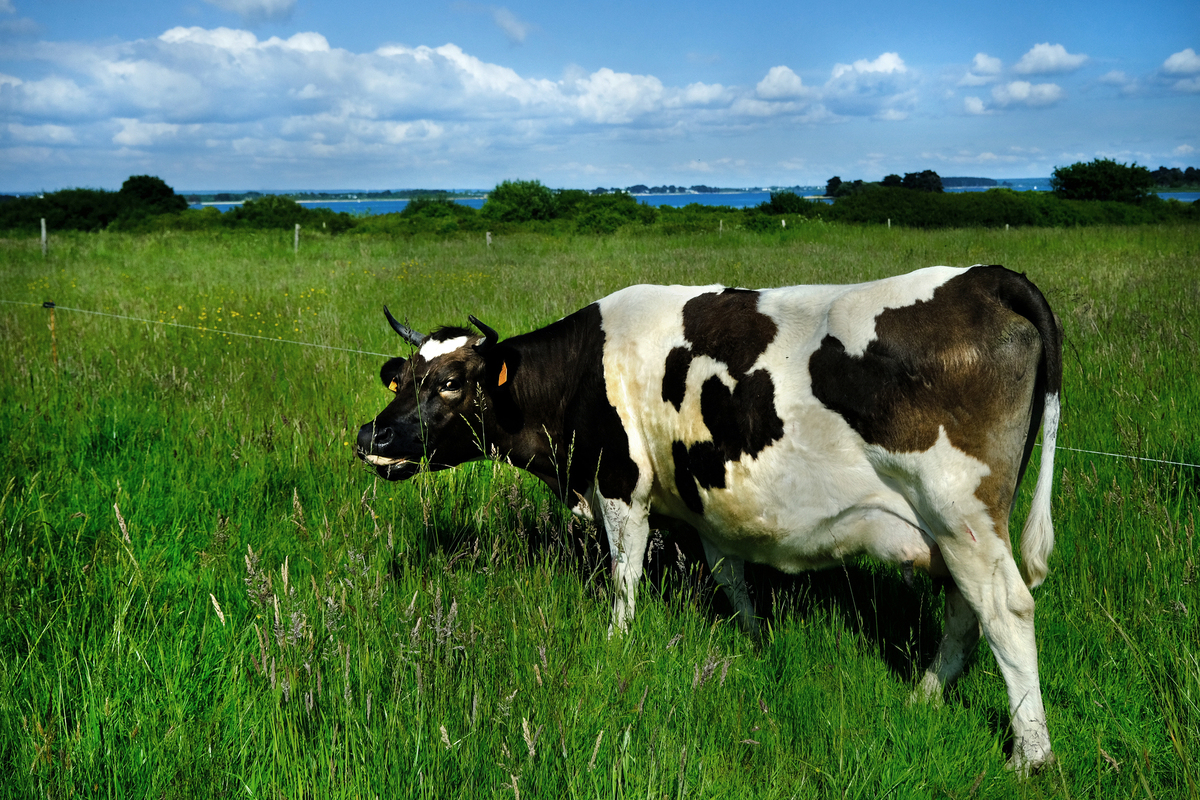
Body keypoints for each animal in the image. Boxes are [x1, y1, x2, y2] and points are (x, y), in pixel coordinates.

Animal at [352, 263, 1060, 777]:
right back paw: (925, 696)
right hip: (959, 529)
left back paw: (1031, 755)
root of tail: (984, 276)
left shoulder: (620, 486)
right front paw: (757, 643)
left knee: (1006, 610)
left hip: (960, 513)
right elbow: (731, 579)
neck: (580, 373)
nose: (371, 437)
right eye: (402, 379)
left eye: (450, 382)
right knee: (966, 610)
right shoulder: (705, 505)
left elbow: (624, 578)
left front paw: (617, 645)